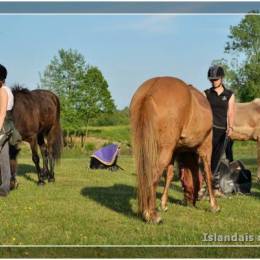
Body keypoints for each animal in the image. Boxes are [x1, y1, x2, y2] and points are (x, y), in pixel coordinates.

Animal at [130, 75, 219, 223]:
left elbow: (170, 175)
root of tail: (151, 90)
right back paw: (152, 215)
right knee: (153, 176)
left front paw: (164, 204)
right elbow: (207, 173)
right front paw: (214, 206)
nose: (189, 201)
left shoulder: (174, 152)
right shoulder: (205, 147)